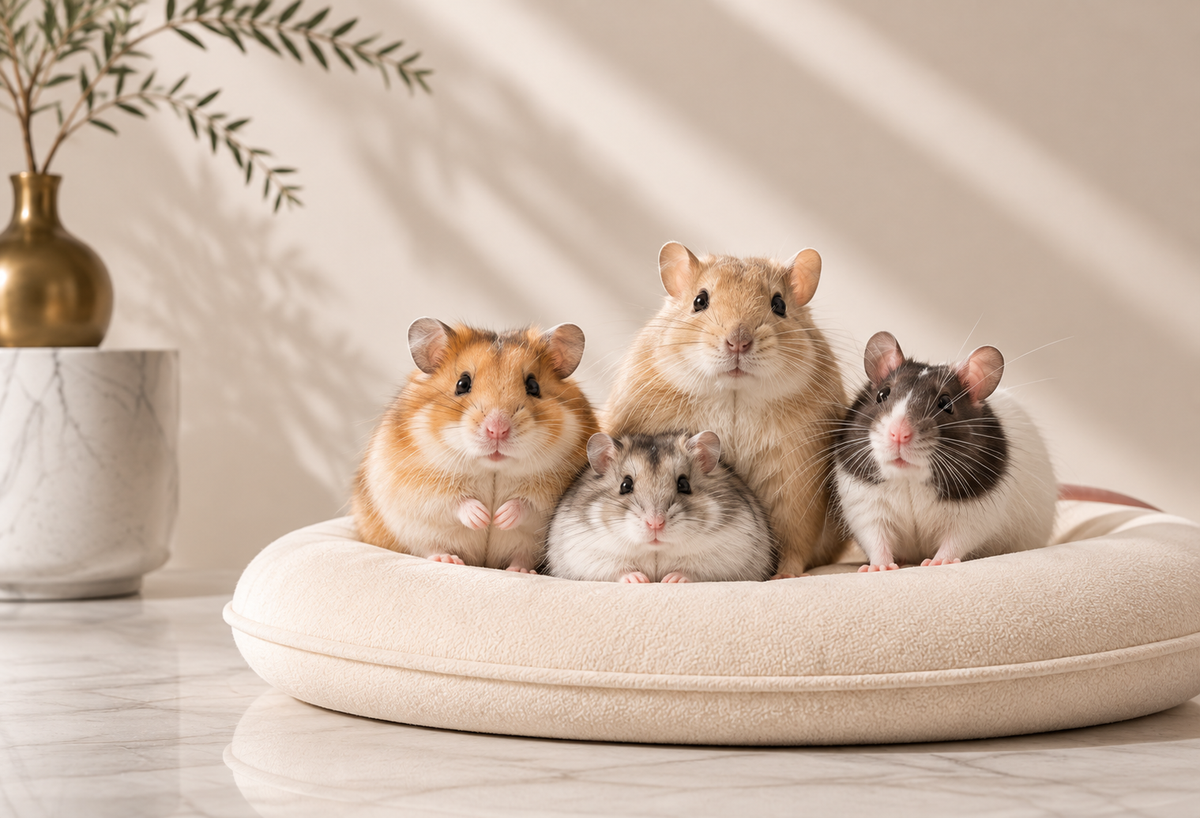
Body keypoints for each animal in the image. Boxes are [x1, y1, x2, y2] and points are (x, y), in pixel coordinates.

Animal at [352, 319, 599, 572]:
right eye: (462, 383)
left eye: (533, 385)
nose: (497, 429)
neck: (493, 468)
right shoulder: (417, 485)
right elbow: (455, 501)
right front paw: (483, 517)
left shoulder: (549, 494)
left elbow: (525, 503)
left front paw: (499, 518)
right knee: (429, 548)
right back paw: (448, 559)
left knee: (522, 555)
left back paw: (520, 569)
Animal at [545, 430, 776, 583]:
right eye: (625, 485)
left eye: (684, 484)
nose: (655, 524)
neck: (655, 550)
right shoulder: (587, 553)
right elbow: (617, 570)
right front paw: (639, 579)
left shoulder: (727, 552)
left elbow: (693, 571)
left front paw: (671, 579)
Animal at [604, 242, 847, 577]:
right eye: (700, 301)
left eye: (779, 304)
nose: (738, 342)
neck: (733, 393)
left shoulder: (796, 483)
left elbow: (794, 544)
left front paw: (783, 575)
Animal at [832, 331, 1057, 572]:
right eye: (882, 394)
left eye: (946, 403)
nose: (899, 434)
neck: (909, 479)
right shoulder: (865, 503)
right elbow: (875, 536)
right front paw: (879, 566)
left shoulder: (973, 513)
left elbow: (958, 538)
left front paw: (940, 561)